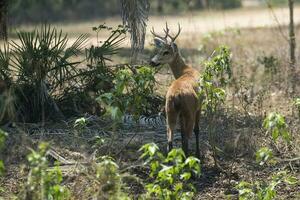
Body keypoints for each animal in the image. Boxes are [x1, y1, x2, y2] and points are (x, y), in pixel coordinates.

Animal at [149, 23, 202, 158]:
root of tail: (176, 95)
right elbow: (197, 130)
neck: (186, 70)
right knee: (187, 137)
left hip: (169, 110)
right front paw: (198, 154)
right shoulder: (201, 105)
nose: (152, 62)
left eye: (166, 52)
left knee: (170, 140)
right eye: (159, 50)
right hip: (189, 111)